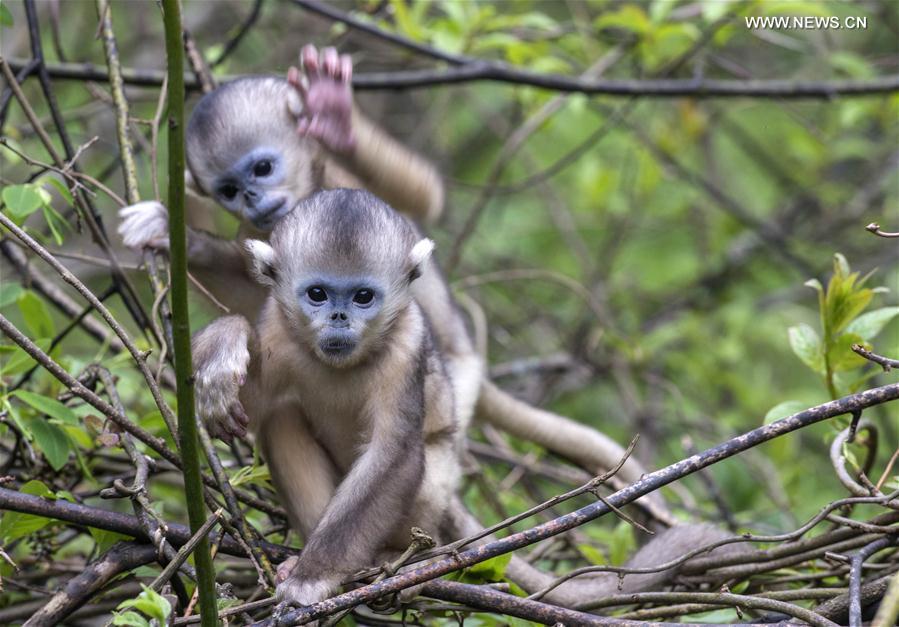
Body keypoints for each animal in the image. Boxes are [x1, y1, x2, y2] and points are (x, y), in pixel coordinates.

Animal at [119, 44, 667, 519]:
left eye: (263, 167)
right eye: (229, 190)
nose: (253, 199)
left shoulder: (340, 180)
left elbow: (421, 195)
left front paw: (334, 113)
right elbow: (248, 286)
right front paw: (167, 231)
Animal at [192, 189, 734, 609]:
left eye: (363, 297)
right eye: (318, 294)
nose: (339, 320)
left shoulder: (407, 345)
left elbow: (395, 454)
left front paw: (314, 578)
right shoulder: (279, 332)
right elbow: (253, 406)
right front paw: (221, 352)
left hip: (429, 502)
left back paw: (389, 564)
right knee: (282, 418)